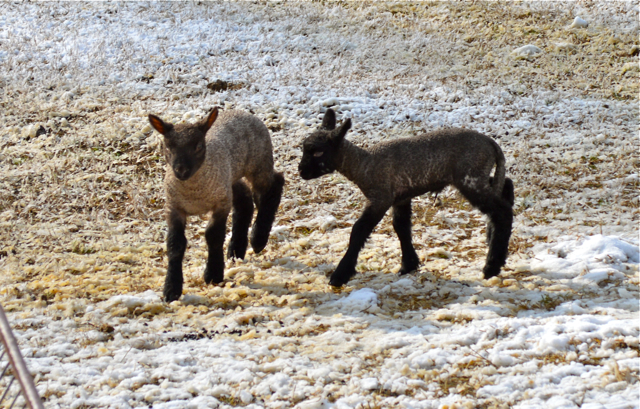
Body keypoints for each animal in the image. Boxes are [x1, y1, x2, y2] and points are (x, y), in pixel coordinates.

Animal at [148, 108, 285, 302]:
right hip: (230, 177)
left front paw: (213, 274)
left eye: (198, 146)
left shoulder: (220, 204)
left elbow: (213, 235)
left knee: (272, 187)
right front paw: (171, 289)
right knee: (245, 201)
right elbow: (175, 244)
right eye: (167, 146)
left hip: (259, 162)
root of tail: (243, 112)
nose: (181, 171)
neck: (194, 192)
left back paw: (258, 238)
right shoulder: (174, 208)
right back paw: (236, 250)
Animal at [298, 108, 514, 287]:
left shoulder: (380, 198)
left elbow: (359, 230)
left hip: (470, 177)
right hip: (479, 176)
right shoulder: (400, 197)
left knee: (502, 211)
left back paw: (491, 266)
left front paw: (340, 275)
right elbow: (401, 227)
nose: (301, 171)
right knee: (506, 187)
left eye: (318, 152)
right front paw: (408, 265)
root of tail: (491, 144)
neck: (362, 165)